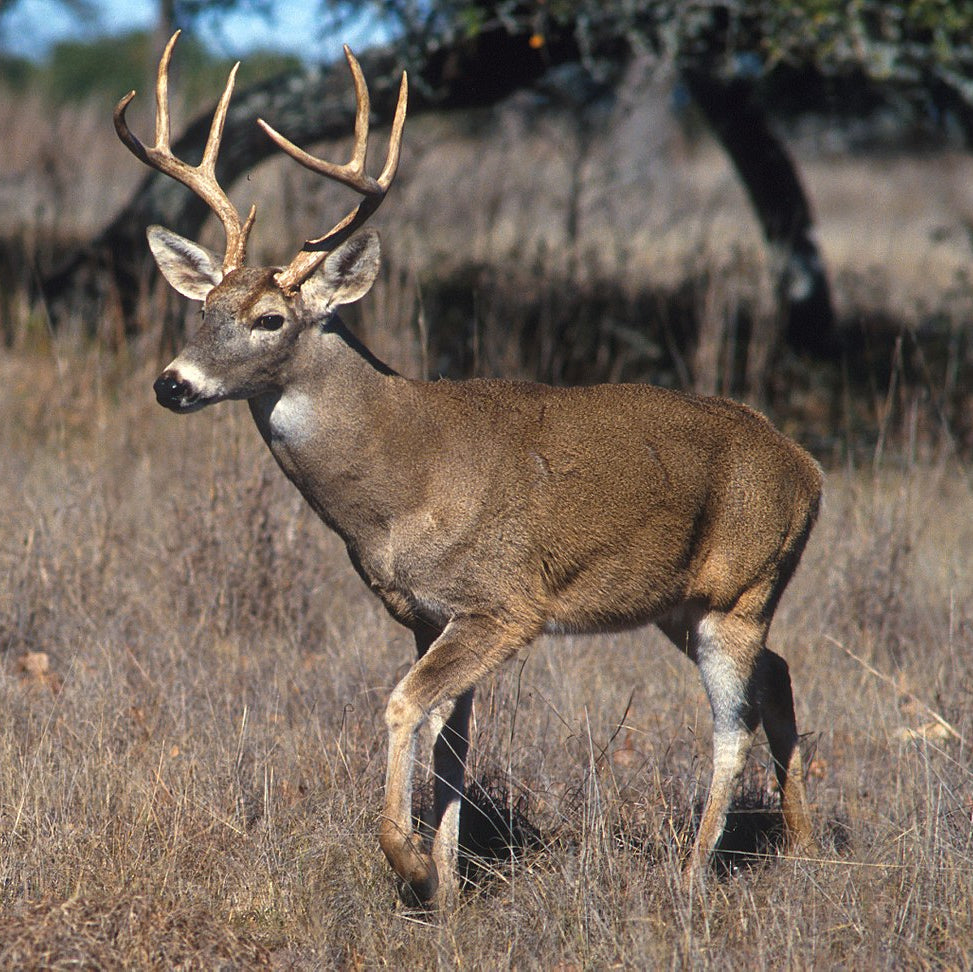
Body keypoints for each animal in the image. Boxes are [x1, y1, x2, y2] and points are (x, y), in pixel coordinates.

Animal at [116, 32, 822, 905]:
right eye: (203, 309)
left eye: (269, 318)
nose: (172, 383)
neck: (399, 482)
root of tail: (808, 468)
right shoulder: (427, 613)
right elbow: (450, 741)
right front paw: (449, 884)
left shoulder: (503, 603)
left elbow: (401, 707)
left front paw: (410, 861)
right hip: (683, 602)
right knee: (778, 675)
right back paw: (800, 847)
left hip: (739, 589)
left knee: (733, 725)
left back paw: (691, 878)